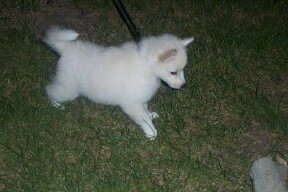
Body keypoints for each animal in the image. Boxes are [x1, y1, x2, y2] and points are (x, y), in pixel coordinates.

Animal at [44, 27, 194, 140]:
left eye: (182, 70)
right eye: (173, 72)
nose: (184, 85)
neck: (145, 66)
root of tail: (67, 48)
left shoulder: (141, 97)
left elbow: (145, 109)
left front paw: (150, 115)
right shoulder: (132, 103)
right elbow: (143, 117)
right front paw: (151, 131)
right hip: (69, 88)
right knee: (50, 90)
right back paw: (56, 104)